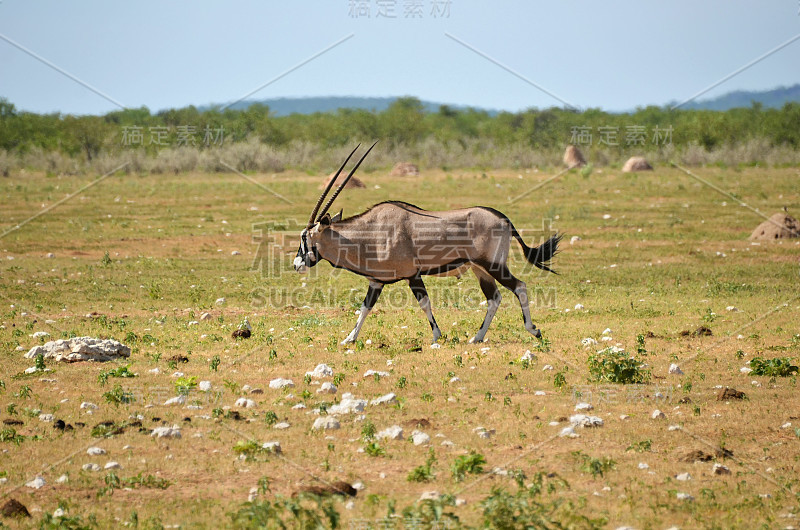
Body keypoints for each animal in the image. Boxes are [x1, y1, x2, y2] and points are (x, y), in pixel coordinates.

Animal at [294, 142, 564, 344]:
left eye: (305, 237)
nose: (297, 264)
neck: (370, 233)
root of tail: (503, 218)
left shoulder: (412, 275)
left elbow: (424, 303)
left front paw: (436, 336)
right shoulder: (377, 281)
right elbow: (365, 307)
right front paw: (349, 339)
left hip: (494, 266)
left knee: (519, 286)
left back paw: (533, 330)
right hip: (480, 269)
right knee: (494, 298)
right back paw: (477, 337)